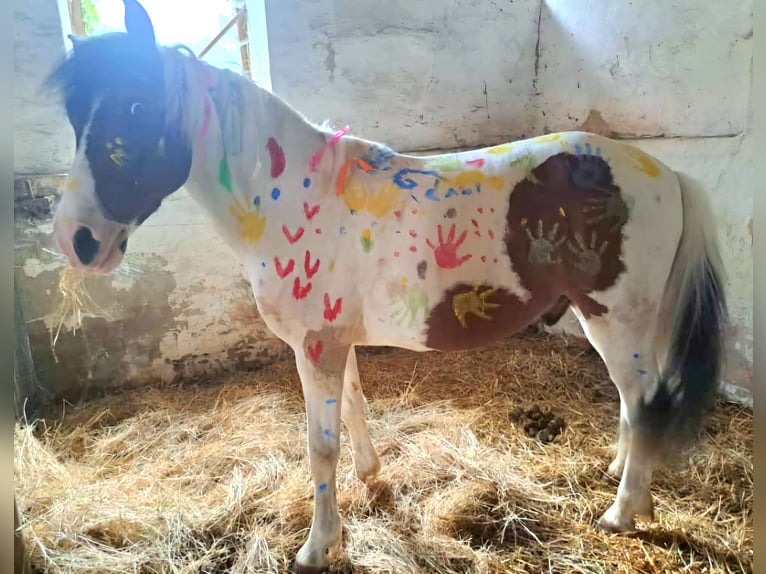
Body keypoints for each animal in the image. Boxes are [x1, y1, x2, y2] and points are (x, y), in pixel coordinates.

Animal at [46, 1, 726, 571]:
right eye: (75, 117)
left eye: (137, 107)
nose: (77, 239)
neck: (293, 198)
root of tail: (668, 174)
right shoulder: (331, 341)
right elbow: (352, 407)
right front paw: (368, 477)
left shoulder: (316, 346)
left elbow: (318, 444)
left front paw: (317, 546)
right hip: (624, 321)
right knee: (634, 401)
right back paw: (619, 476)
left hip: (614, 315)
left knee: (645, 401)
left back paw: (622, 512)